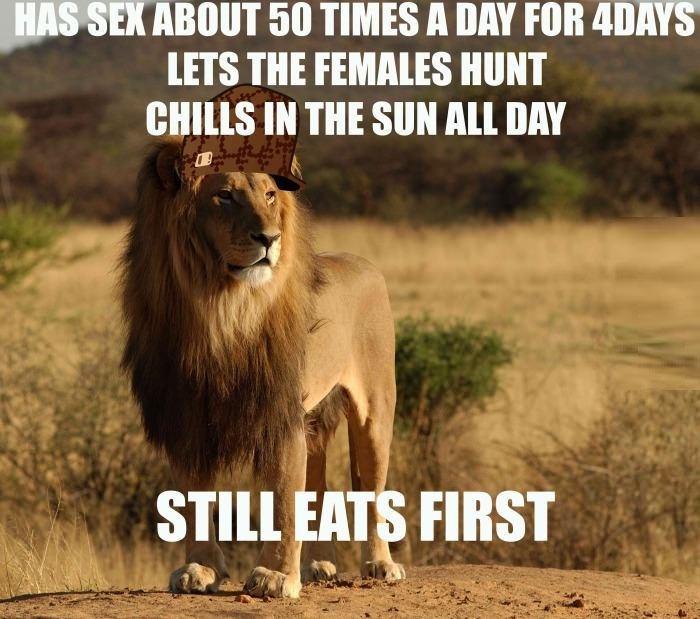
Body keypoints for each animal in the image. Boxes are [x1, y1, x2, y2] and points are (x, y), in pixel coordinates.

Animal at [120, 135, 405, 598]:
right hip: (315, 422)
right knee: (318, 486)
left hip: (375, 411)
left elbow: (284, 499)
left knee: (372, 490)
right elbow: (193, 498)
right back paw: (318, 565)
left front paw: (275, 577)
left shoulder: (279, 413)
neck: (221, 309)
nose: (270, 238)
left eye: (270, 195)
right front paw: (200, 569)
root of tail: (363, 262)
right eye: (224, 195)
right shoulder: (187, 415)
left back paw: (380, 564)